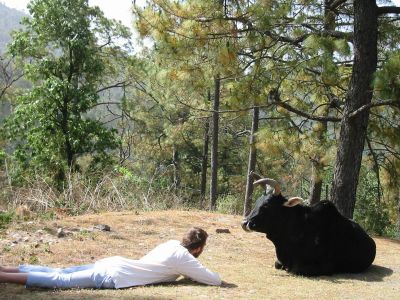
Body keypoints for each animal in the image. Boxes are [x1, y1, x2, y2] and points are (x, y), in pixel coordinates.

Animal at [242, 177, 376, 276]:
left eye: (267, 205)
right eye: (257, 201)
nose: (244, 223)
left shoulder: (326, 266)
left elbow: (295, 269)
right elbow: (277, 264)